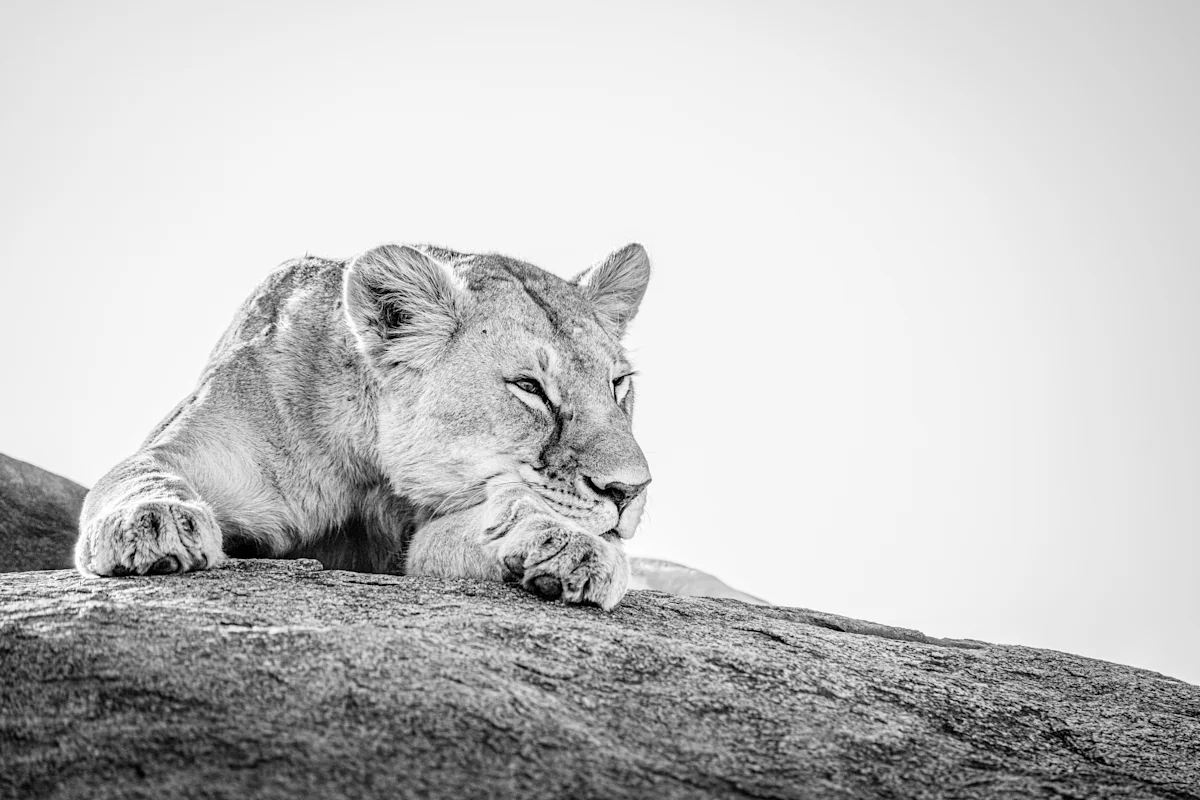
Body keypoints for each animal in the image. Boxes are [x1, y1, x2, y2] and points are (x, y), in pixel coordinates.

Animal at [75, 243, 652, 610]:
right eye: (529, 387)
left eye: (618, 384)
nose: (629, 491)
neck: (368, 465)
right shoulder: (184, 447)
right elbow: (135, 477)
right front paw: (152, 523)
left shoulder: (415, 550)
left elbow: (497, 515)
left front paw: (570, 547)